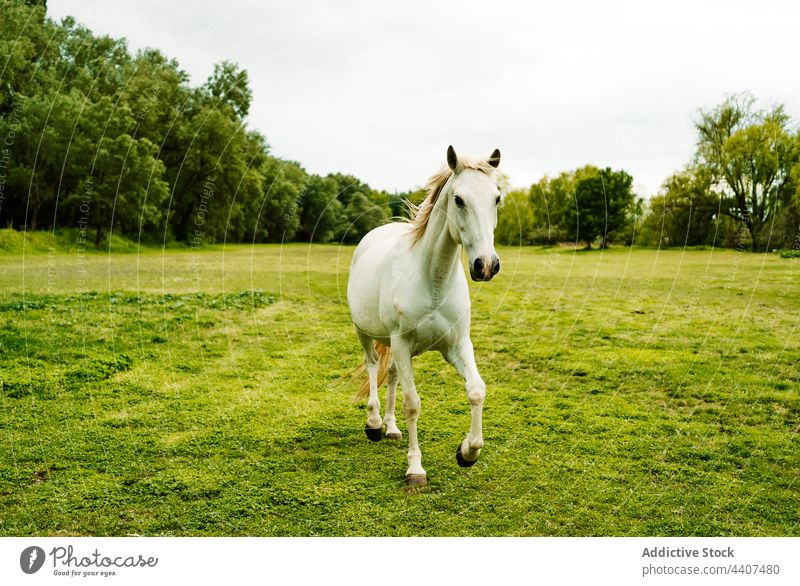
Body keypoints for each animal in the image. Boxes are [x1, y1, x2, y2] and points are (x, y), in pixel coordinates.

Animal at [348, 145, 504, 484]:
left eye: (497, 198)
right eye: (458, 199)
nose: (486, 265)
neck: (433, 279)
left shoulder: (457, 345)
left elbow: (476, 391)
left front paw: (468, 452)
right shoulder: (402, 343)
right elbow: (413, 404)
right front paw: (415, 469)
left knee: (392, 374)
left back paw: (391, 428)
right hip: (364, 333)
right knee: (373, 365)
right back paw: (375, 423)